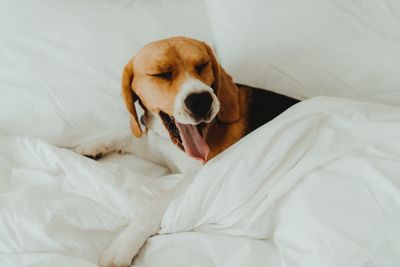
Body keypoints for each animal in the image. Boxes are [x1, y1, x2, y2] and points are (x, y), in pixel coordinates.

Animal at [76, 36, 296, 266]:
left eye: (202, 65)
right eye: (161, 74)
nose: (201, 100)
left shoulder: (200, 175)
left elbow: (155, 203)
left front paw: (123, 244)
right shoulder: (159, 148)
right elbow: (128, 137)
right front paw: (93, 145)